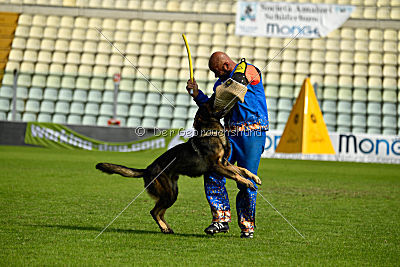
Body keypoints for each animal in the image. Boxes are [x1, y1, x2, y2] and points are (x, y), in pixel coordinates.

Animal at [95, 98, 260, 234]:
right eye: (210, 102)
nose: (213, 94)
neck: (212, 132)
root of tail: (147, 169)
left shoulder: (225, 163)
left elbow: (242, 169)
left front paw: (254, 178)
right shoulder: (217, 166)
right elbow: (236, 174)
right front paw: (248, 183)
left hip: (172, 193)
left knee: (159, 212)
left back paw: (166, 228)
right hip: (168, 194)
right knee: (154, 212)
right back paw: (164, 228)